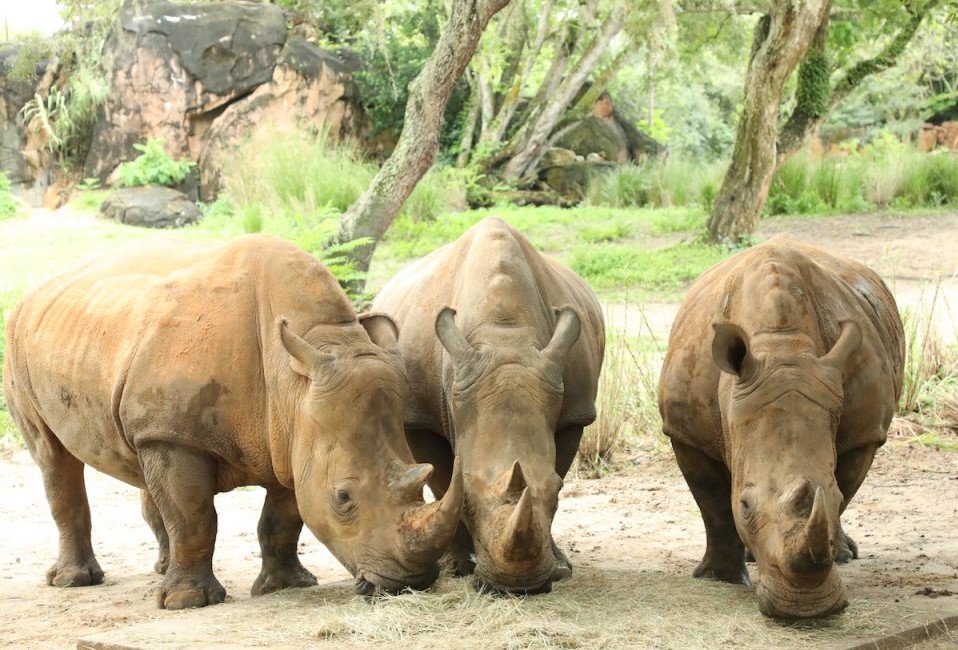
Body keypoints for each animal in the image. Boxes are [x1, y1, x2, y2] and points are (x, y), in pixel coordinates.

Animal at [3, 234, 463, 609]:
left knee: (138, 460)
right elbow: (194, 517)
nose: (410, 583)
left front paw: (286, 586)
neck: (295, 374)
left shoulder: (291, 435)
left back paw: (160, 569)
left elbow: (282, 518)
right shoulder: (178, 437)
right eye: (343, 498)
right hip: (18, 342)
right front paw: (187, 603)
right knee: (53, 456)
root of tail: (37, 291)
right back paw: (74, 582)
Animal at [372, 217, 605, 594]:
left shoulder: (575, 412)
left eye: (558, 491)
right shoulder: (420, 417)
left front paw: (559, 567)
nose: (517, 586)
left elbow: (560, 462)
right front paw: (459, 566)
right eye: (467, 499)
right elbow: (443, 483)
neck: (505, 334)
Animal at [658, 235, 904, 618]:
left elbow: (841, 494)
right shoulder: (685, 432)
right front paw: (719, 578)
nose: (805, 609)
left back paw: (844, 555)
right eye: (745, 505)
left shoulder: (865, 433)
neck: (781, 344)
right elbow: (714, 507)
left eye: (833, 496)